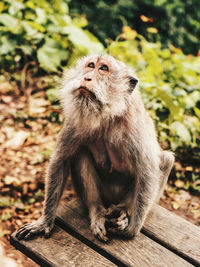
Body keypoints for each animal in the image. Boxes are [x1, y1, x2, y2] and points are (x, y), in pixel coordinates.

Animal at [15, 54, 174, 243]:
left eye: (103, 69)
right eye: (91, 66)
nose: (87, 77)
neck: (107, 114)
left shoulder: (134, 123)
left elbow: (147, 171)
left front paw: (132, 229)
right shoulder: (75, 120)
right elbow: (61, 161)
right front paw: (44, 222)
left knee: (165, 160)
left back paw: (122, 210)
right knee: (80, 153)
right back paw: (96, 210)